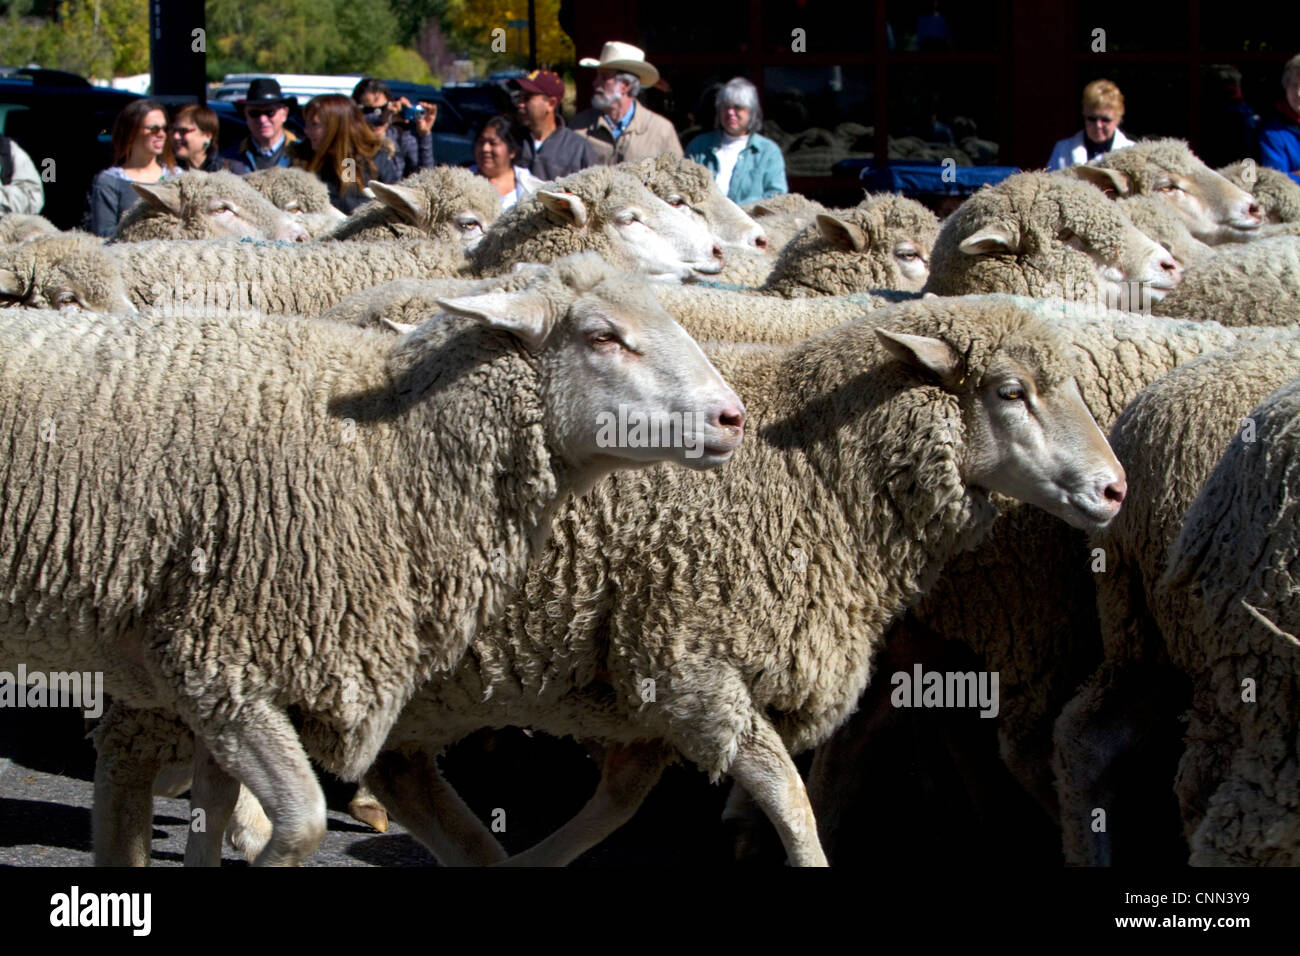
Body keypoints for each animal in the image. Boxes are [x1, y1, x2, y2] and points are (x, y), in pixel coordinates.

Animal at [0, 254, 747, 866]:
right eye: (602, 336)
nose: (733, 417)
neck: (397, 448)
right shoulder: (218, 658)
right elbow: (301, 821)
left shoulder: (230, 665)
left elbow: (215, 805)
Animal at [348, 295, 1128, 867]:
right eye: (1011, 391)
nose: (1116, 490)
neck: (816, 470)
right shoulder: (693, 659)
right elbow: (787, 795)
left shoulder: (652, 671)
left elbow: (624, 794)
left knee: (404, 777)